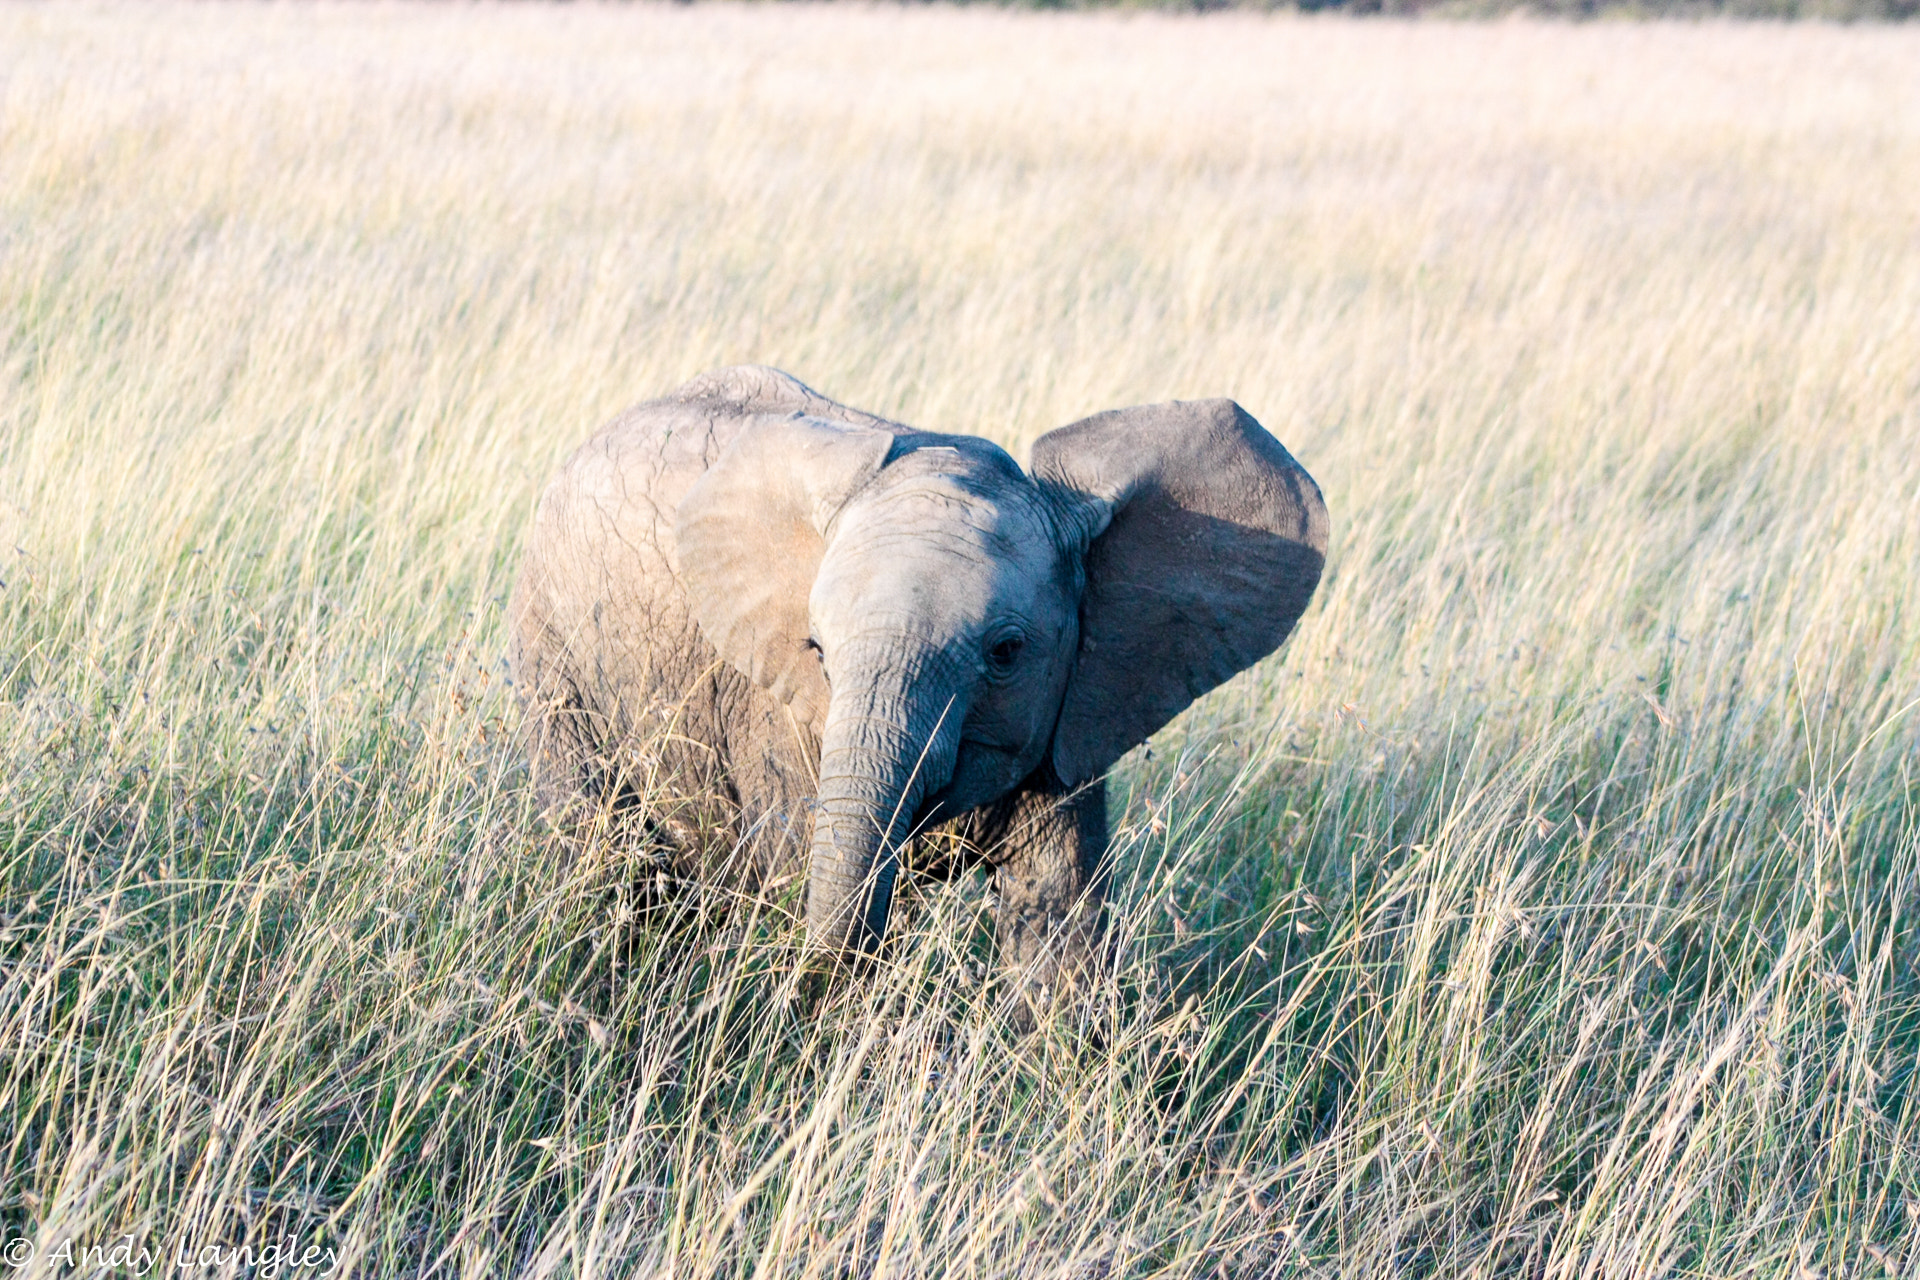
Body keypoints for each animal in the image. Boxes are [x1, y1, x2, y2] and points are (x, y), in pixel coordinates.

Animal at [508, 365, 1327, 1012]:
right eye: (817, 651)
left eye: (1006, 652)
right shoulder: (776, 720)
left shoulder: (1074, 707)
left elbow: (1057, 926)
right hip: (554, 656)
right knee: (603, 861)